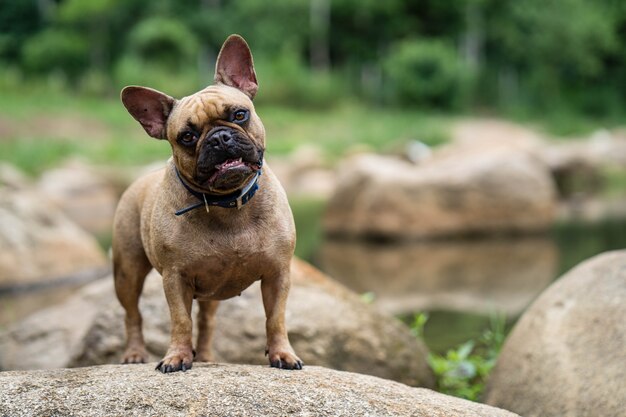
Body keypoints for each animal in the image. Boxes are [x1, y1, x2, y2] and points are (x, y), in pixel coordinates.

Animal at [113, 33, 302, 370]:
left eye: (239, 114)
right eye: (187, 137)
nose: (218, 137)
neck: (228, 203)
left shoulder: (278, 275)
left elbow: (275, 319)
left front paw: (283, 353)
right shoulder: (175, 279)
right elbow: (180, 320)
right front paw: (176, 356)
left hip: (211, 293)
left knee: (207, 322)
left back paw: (206, 356)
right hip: (127, 272)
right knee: (133, 315)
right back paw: (134, 354)